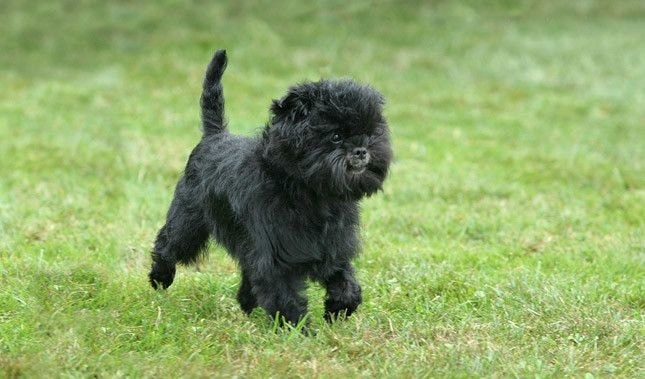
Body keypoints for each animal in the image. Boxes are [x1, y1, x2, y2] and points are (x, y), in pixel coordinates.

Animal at [150, 49, 392, 326]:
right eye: (335, 137)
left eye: (371, 134)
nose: (362, 150)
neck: (310, 193)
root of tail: (214, 136)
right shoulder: (276, 258)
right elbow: (285, 297)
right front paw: (299, 330)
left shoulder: (332, 249)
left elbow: (347, 283)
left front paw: (337, 310)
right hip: (188, 217)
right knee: (169, 242)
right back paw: (160, 277)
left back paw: (247, 303)